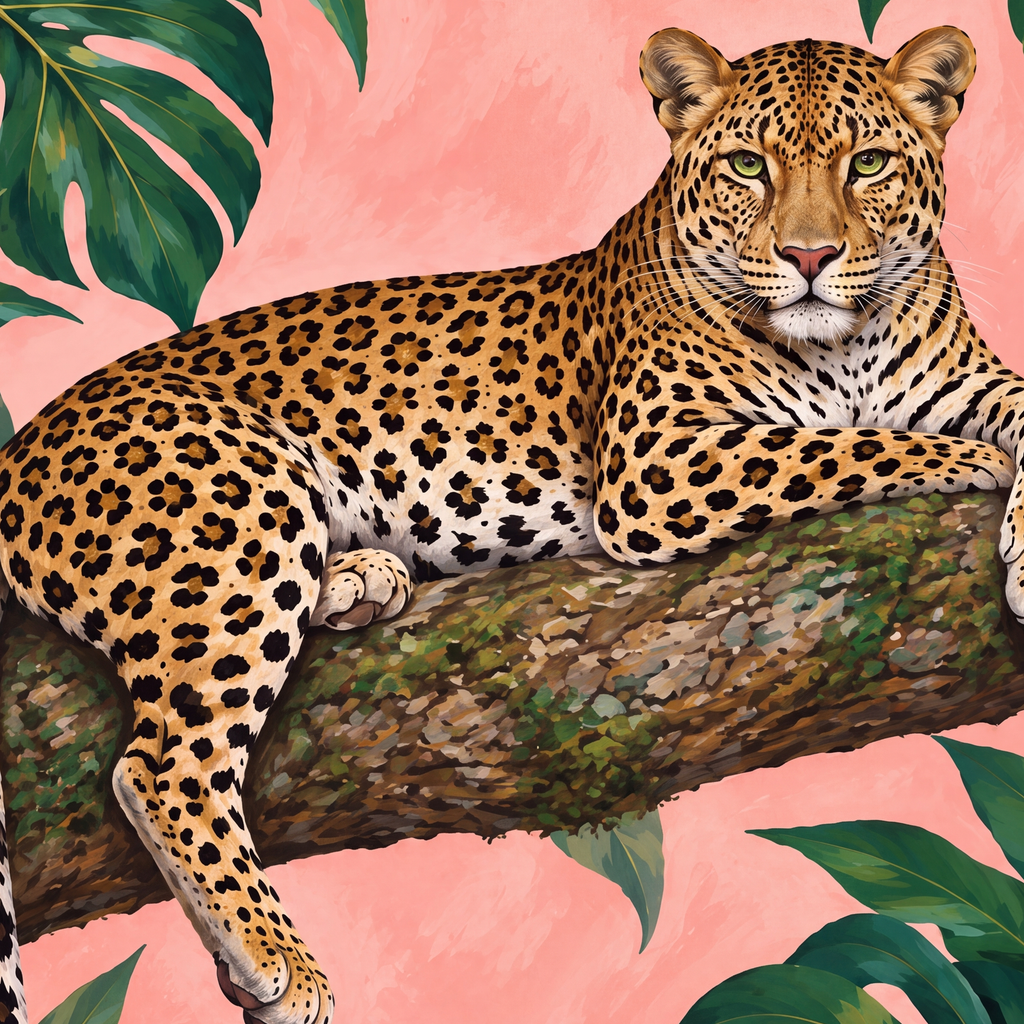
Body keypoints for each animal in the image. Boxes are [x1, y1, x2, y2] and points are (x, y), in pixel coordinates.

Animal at [0, 22, 1018, 1024]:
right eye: (746, 167)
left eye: (869, 164)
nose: (810, 259)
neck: (846, 346)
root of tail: (20, 443)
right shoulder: (658, 461)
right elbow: (850, 445)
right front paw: (970, 465)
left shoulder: (966, 380)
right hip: (239, 503)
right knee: (164, 764)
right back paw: (276, 958)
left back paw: (361, 579)